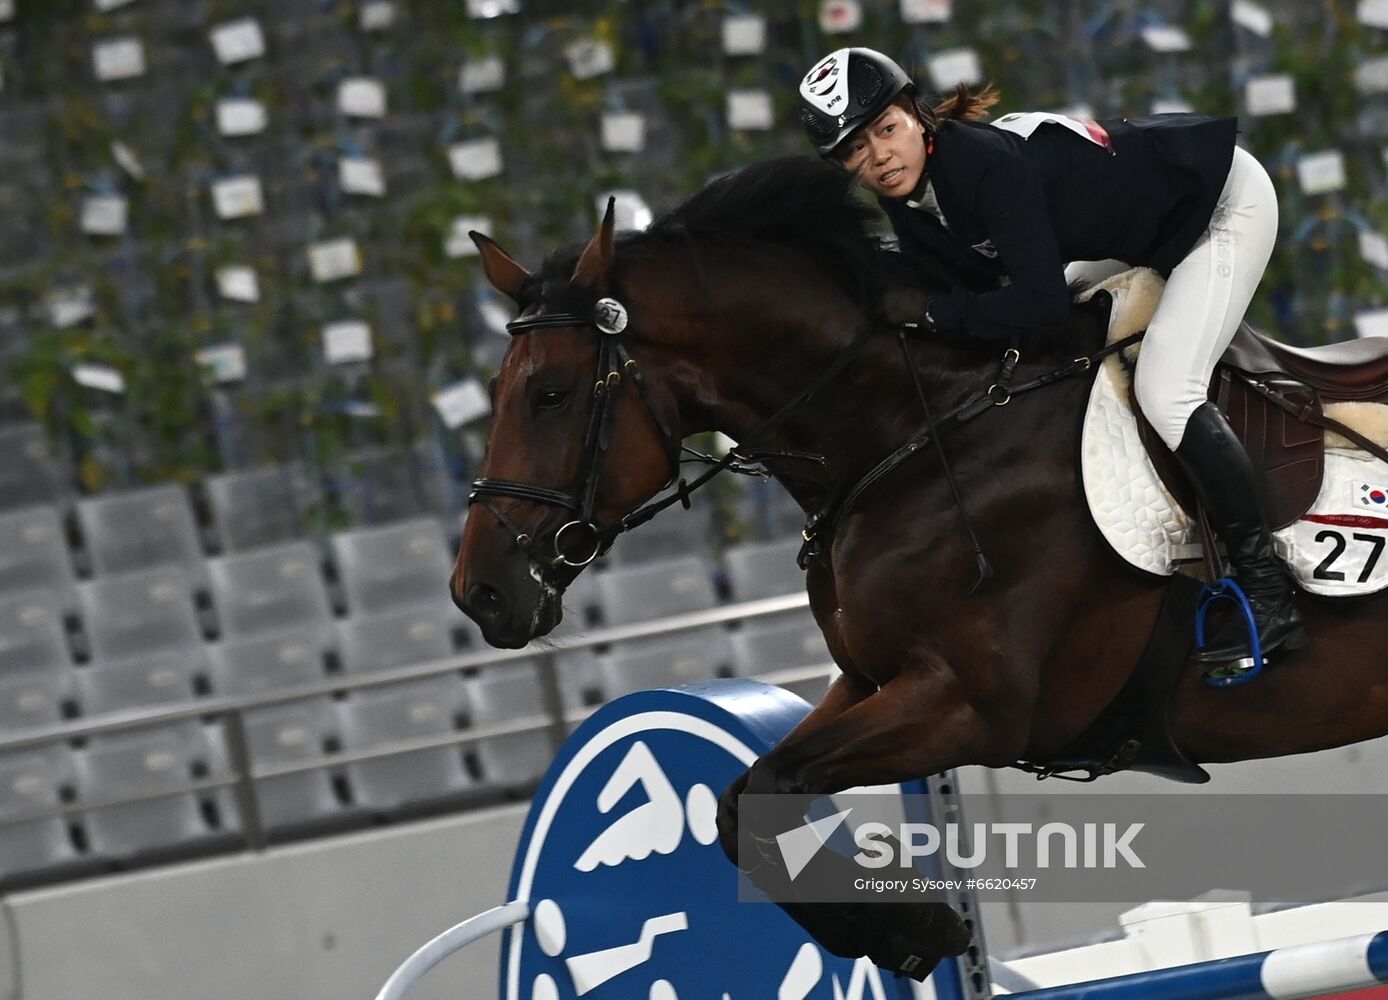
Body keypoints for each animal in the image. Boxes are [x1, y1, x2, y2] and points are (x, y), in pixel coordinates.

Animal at [446, 156, 1388, 977]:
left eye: (550, 394)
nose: (479, 592)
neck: (918, 429)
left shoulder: (969, 704)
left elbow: (766, 786)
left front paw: (913, 926)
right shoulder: (867, 682)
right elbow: (740, 800)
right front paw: (909, 929)